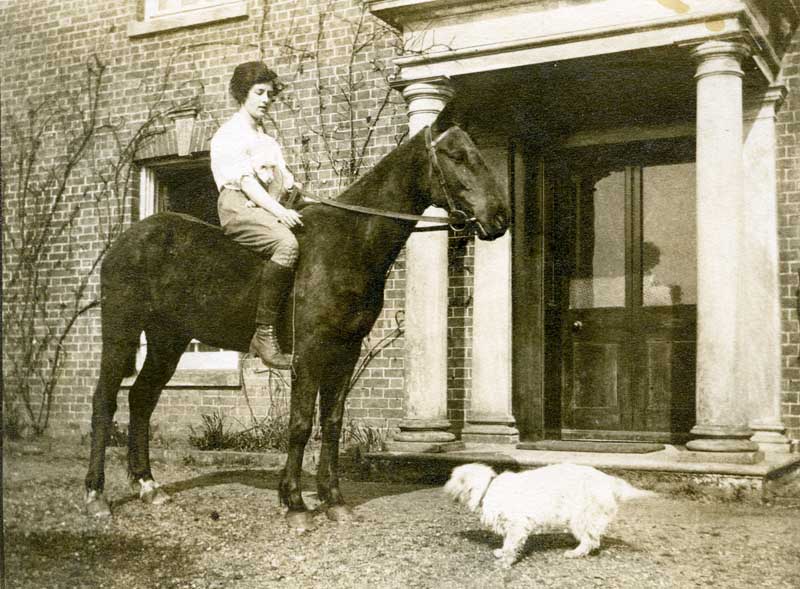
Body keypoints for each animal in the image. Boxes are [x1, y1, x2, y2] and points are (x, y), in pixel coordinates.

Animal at [83, 107, 510, 529]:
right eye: (456, 156)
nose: (500, 218)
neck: (350, 241)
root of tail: (126, 240)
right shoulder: (309, 351)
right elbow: (301, 423)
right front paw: (294, 502)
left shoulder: (347, 352)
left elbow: (332, 422)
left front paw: (333, 499)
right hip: (122, 332)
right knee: (105, 400)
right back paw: (96, 495)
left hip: (167, 341)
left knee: (141, 398)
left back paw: (148, 486)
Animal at [444, 462, 657, 567]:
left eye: (453, 479)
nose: (444, 490)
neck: (488, 487)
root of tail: (609, 482)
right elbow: (507, 543)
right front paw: (502, 553)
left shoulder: (517, 525)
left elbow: (511, 544)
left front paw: (505, 561)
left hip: (580, 518)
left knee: (590, 540)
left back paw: (575, 553)